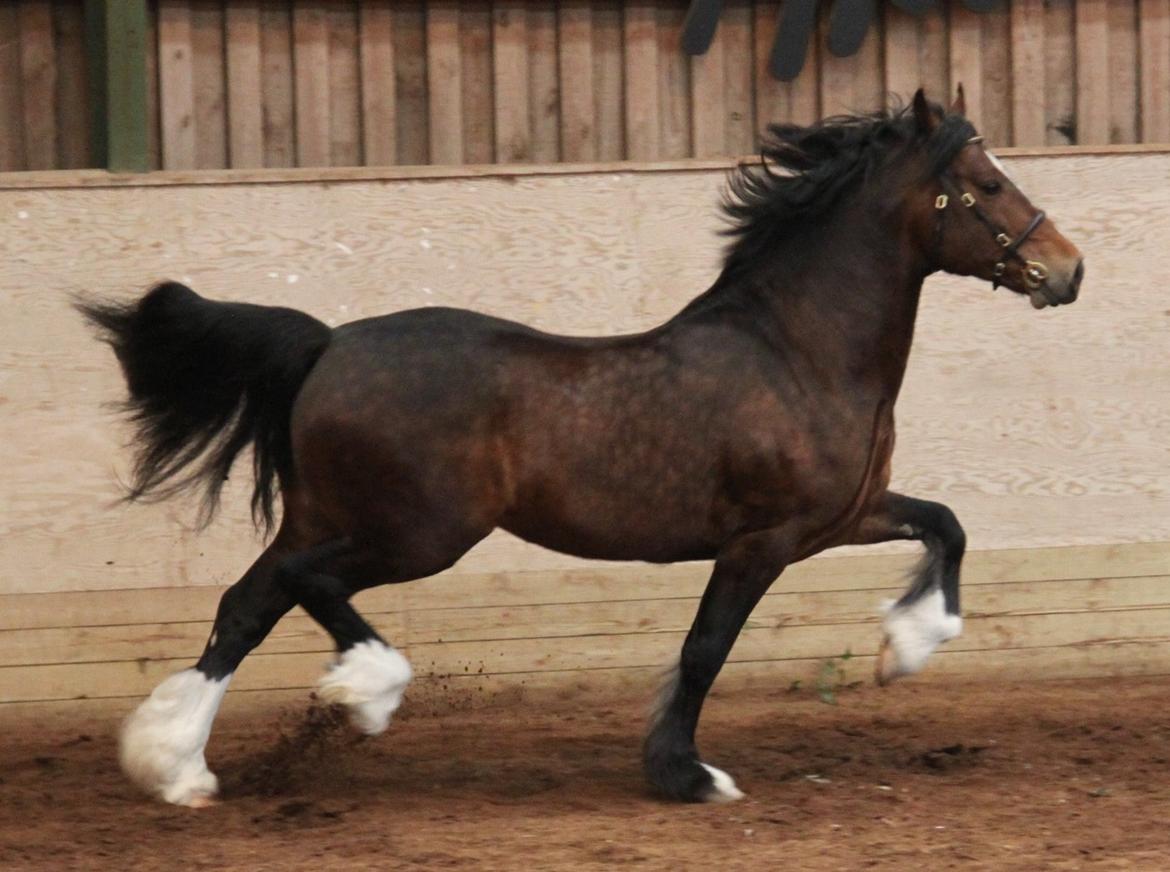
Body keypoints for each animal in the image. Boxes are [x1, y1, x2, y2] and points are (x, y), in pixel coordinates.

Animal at [77, 88, 1081, 800]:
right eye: (988, 184)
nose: (1066, 270)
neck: (797, 351)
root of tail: (330, 343)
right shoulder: (762, 540)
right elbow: (705, 648)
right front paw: (687, 774)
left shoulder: (844, 516)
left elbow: (946, 525)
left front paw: (904, 649)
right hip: (419, 532)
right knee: (299, 585)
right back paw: (364, 691)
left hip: (332, 515)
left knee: (249, 603)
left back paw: (176, 768)